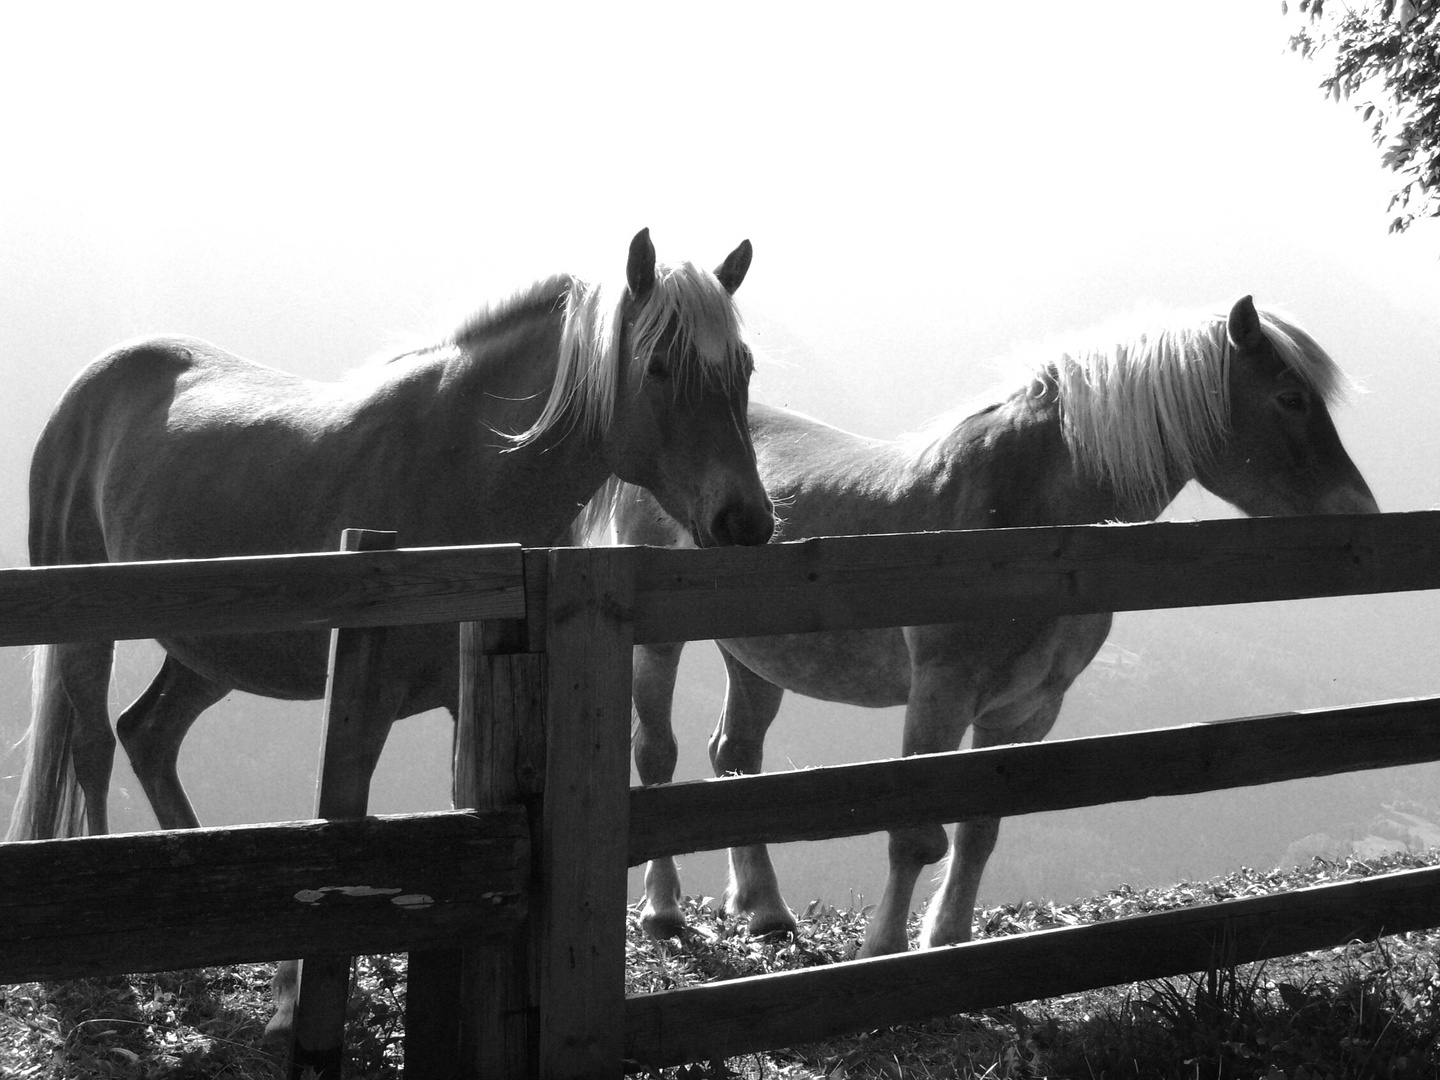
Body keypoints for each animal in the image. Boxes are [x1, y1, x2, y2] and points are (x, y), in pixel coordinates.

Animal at [601, 298, 1376, 961]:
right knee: (660, 760)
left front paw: (947, 943)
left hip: (759, 659)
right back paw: (663, 911)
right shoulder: (941, 695)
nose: (1361, 511)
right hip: (660, 647)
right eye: (1290, 398)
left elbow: (979, 828)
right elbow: (916, 834)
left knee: (737, 759)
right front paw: (881, 952)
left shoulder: (1026, 709)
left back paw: (765, 910)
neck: (1028, 530)